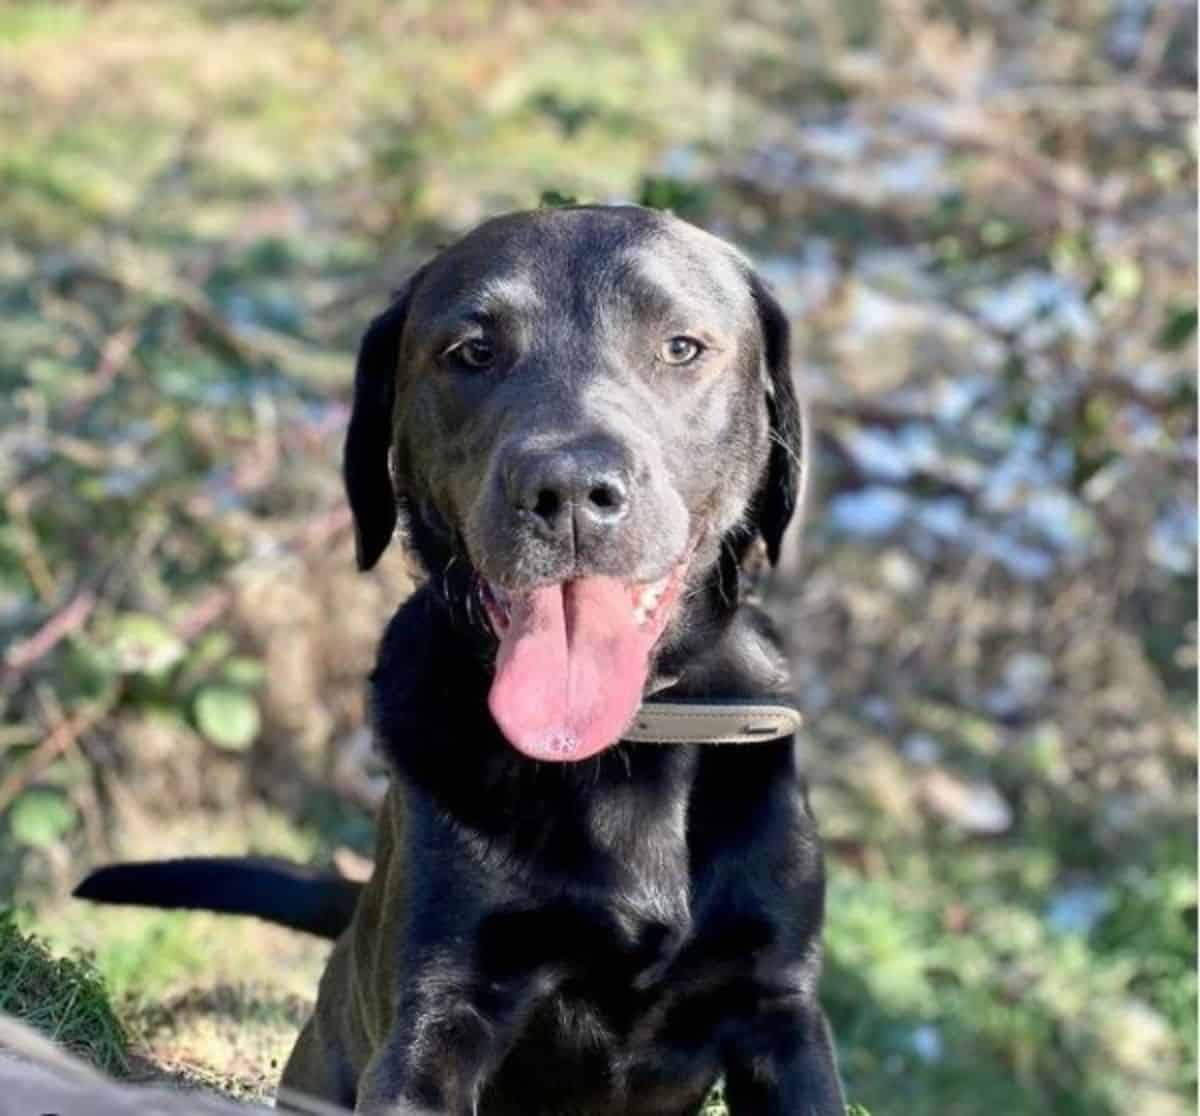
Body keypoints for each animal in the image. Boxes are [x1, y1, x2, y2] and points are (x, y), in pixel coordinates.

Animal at [77, 204, 844, 1108]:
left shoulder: (777, 1010)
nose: (568, 489)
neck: (626, 750)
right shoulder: (440, 1011)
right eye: (473, 351)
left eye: (681, 346)